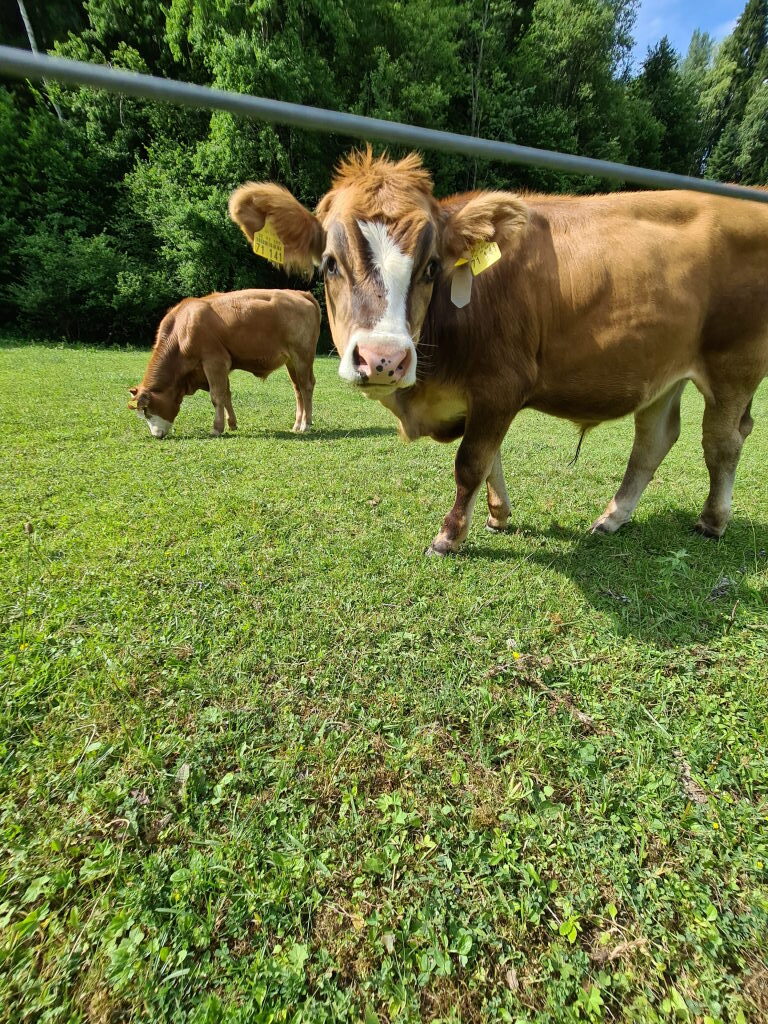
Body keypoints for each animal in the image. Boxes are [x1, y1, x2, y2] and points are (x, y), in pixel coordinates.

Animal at [128, 289, 320, 439]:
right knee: (297, 389)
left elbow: (217, 396)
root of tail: (300, 293)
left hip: (302, 356)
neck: (181, 332)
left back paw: (306, 425)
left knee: (306, 386)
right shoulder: (216, 368)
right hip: (291, 361)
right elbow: (226, 394)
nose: (156, 435)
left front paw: (217, 428)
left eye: (146, 411)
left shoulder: (215, 361)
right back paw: (297, 424)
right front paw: (232, 423)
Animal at [229, 150, 768, 554]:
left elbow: (471, 461)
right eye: (330, 265)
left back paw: (712, 520)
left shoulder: (502, 384)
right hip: (660, 371)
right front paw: (497, 516)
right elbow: (492, 459)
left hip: (734, 364)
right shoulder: (484, 396)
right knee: (654, 440)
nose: (383, 359)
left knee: (722, 440)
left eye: (431, 267)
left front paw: (449, 536)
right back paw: (611, 519)